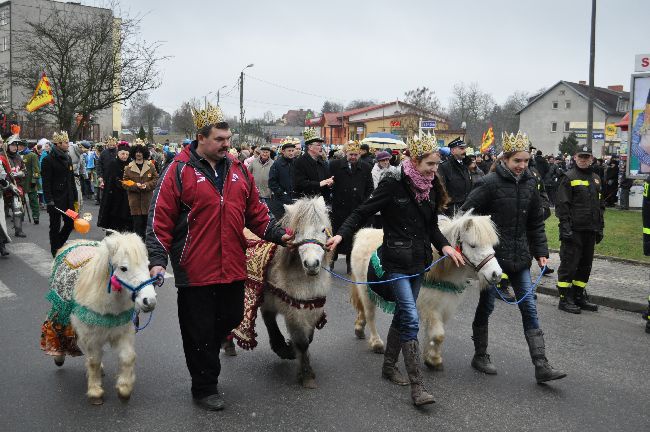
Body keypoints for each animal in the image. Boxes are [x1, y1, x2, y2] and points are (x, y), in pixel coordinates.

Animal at [40, 233, 157, 404]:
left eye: (147, 265)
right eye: (123, 268)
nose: (149, 301)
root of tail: (76, 242)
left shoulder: (123, 332)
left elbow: (128, 357)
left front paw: (124, 389)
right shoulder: (90, 335)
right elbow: (93, 360)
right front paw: (95, 393)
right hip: (61, 312)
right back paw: (59, 355)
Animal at [258, 196, 330, 388]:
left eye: (323, 229)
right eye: (297, 231)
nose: (311, 264)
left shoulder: (312, 308)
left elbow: (308, 338)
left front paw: (291, 350)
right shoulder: (293, 311)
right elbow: (302, 342)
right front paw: (306, 375)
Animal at [350, 211, 502, 370]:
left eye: (492, 245)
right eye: (473, 245)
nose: (496, 274)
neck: (439, 270)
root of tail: (363, 233)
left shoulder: (443, 308)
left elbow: (433, 334)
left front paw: (430, 356)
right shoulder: (430, 309)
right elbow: (438, 335)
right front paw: (433, 359)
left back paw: (360, 328)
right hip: (366, 291)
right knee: (370, 315)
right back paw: (376, 343)